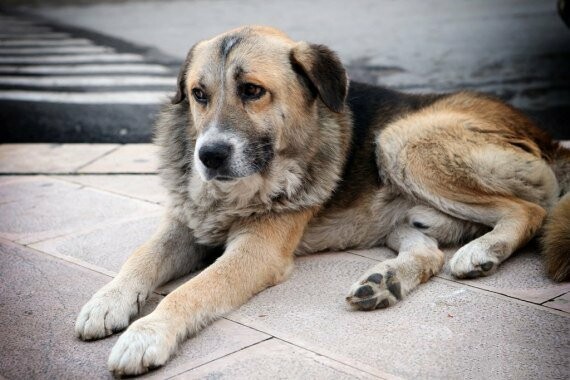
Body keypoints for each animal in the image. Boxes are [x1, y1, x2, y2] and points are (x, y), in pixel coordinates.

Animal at [73, 25, 564, 376]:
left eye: (252, 91)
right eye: (199, 95)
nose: (207, 156)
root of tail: (545, 135)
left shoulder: (257, 251)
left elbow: (193, 289)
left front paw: (147, 333)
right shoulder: (183, 224)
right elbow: (140, 256)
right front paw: (106, 301)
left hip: (402, 140)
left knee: (530, 209)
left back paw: (484, 250)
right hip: (402, 213)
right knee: (429, 253)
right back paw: (385, 282)